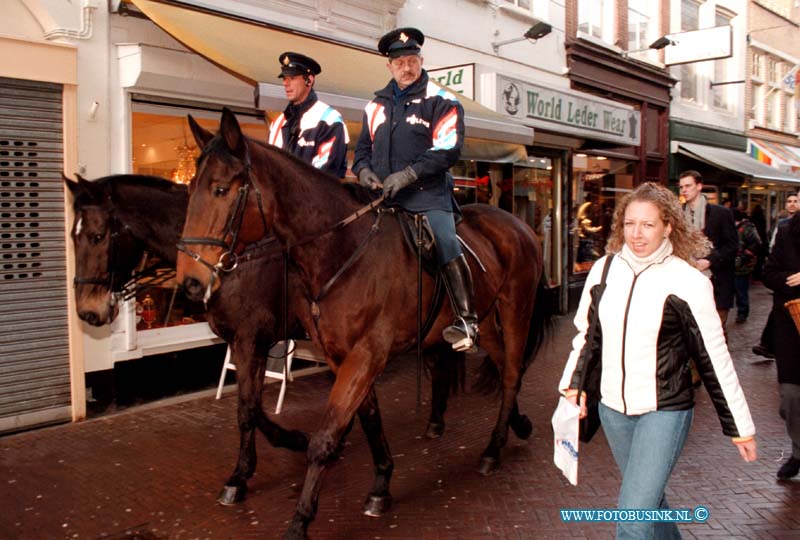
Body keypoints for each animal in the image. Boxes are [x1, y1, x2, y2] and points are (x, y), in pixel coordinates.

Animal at [176, 109, 552, 540]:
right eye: (190, 189)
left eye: (221, 190)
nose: (189, 282)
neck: (341, 251)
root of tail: (521, 225)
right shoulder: (339, 355)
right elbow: (364, 417)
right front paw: (381, 483)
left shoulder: (352, 352)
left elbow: (319, 435)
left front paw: (299, 518)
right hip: (484, 323)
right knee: (499, 369)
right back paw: (514, 425)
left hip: (516, 310)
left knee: (512, 372)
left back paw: (492, 449)